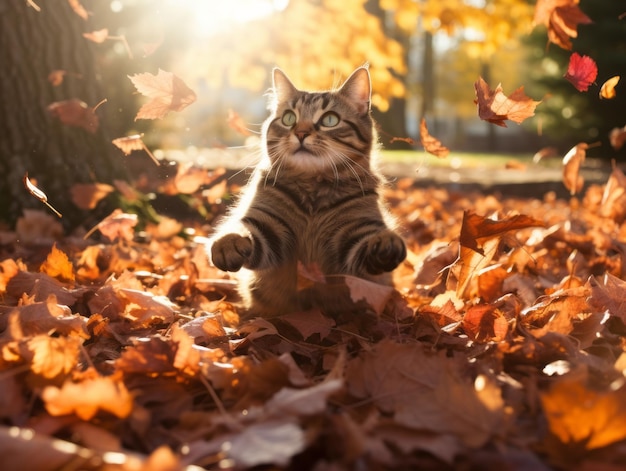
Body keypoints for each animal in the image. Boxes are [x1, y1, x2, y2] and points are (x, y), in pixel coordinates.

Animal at [207, 65, 408, 318]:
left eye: (330, 120)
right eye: (289, 118)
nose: (301, 133)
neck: (312, 187)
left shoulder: (353, 233)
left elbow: (372, 239)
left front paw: (385, 241)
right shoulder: (268, 225)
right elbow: (239, 228)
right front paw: (228, 242)